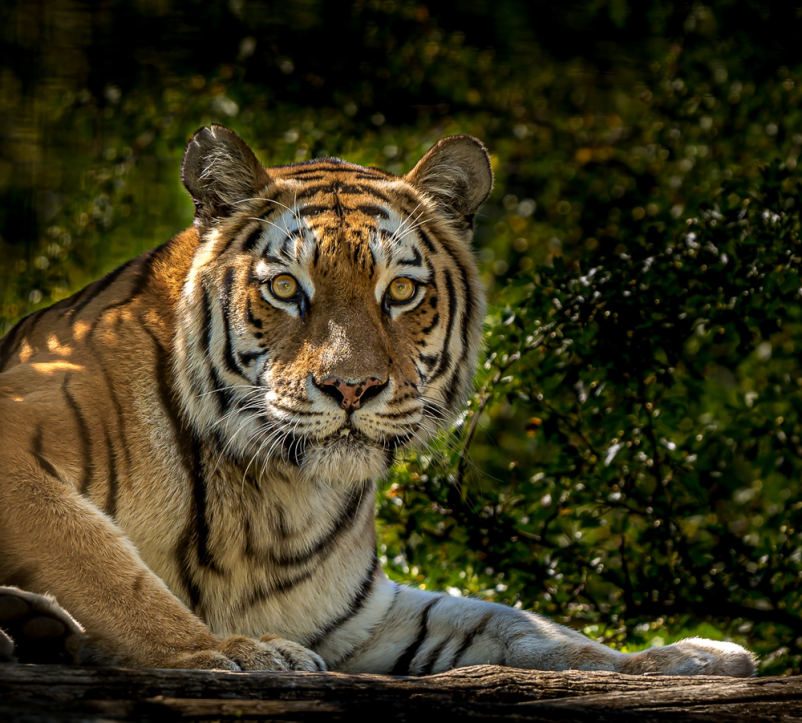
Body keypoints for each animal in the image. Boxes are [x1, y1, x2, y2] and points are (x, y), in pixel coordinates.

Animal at [0, 126, 756, 680]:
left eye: (399, 291)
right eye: (285, 288)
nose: (352, 386)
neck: (271, 495)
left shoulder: (355, 615)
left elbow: (515, 622)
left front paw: (680, 658)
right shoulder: (17, 453)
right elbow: (105, 564)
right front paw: (228, 652)